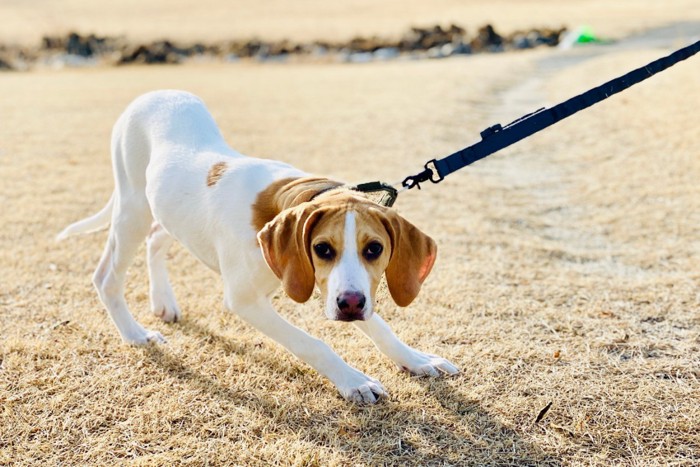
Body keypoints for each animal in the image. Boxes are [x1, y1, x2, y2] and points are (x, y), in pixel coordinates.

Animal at [57, 90, 456, 402]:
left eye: (374, 249)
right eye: (323, 249)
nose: (351, 306)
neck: (286, 199)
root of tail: (149, 95)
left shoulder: (328, 283)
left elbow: (380, 327)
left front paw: (416, 359)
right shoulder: (247, 301)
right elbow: (313, 343)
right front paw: (353, 381)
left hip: (169, 212)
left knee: (156, 239)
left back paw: (163, 303)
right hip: (133, 208)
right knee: (107, 276)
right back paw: (136, 334)